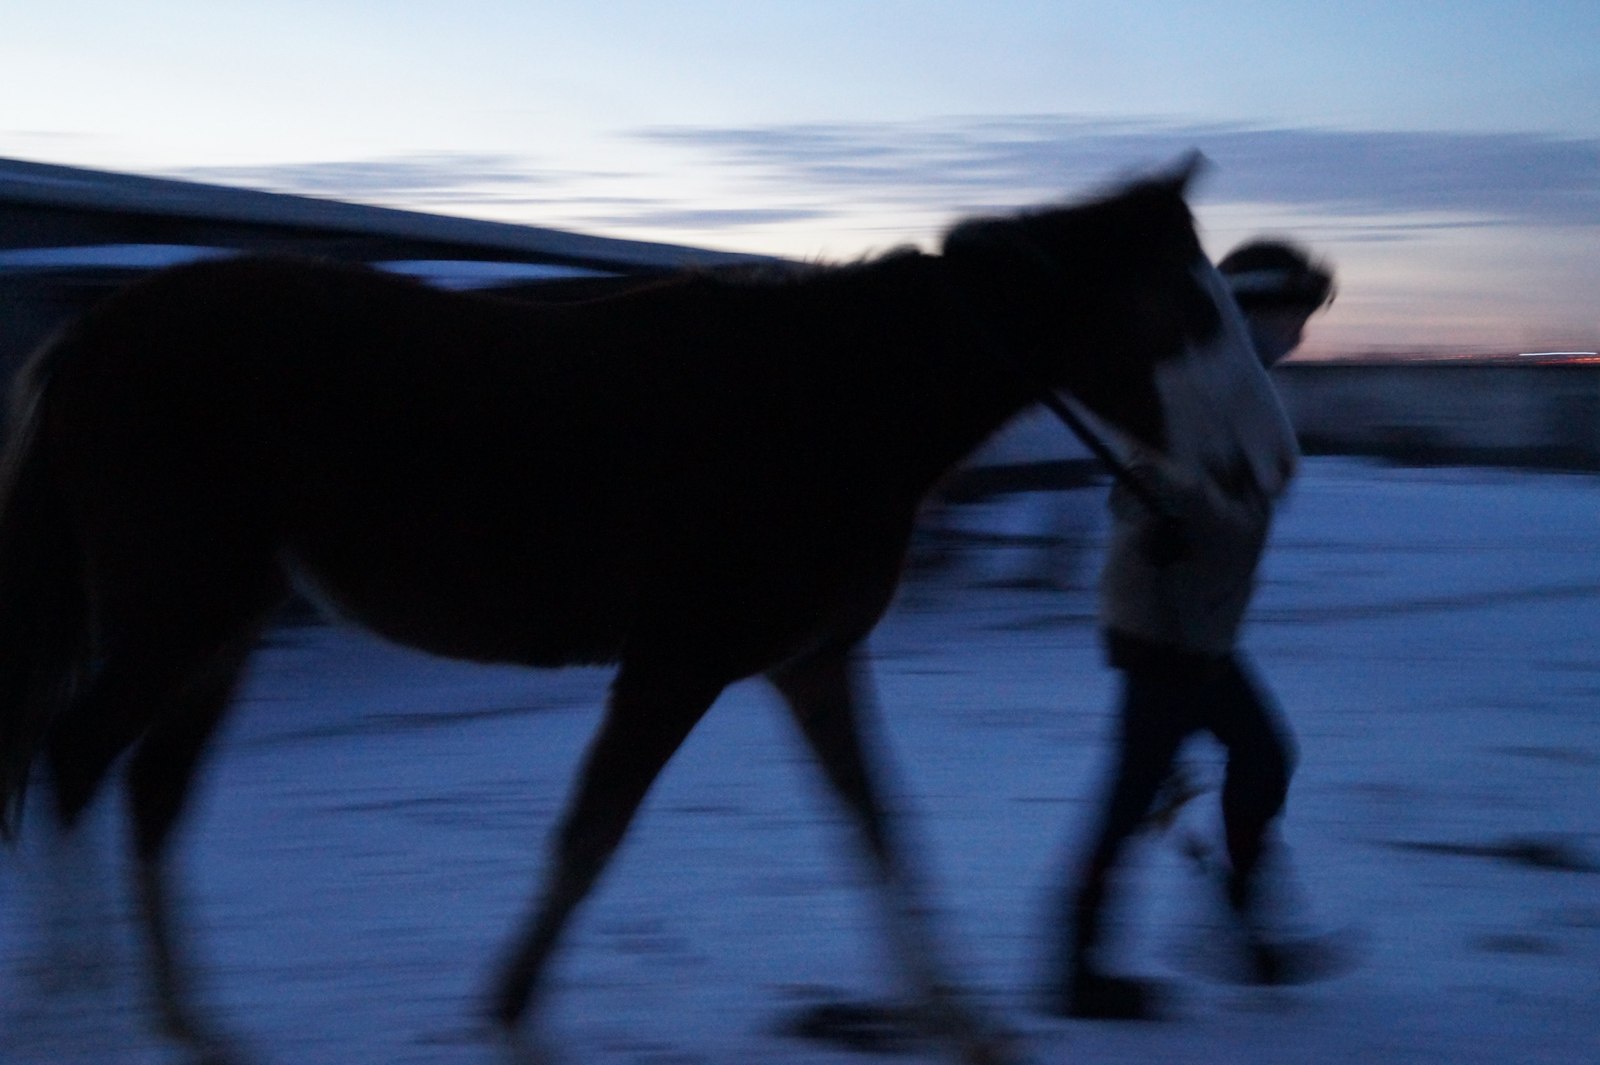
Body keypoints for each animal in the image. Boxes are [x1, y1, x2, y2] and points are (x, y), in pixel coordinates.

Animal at [0, 153, 1280, 1055]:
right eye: (1186, 308)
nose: (1270, 460)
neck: (826, 401)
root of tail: (91, 333)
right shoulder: (677, 663)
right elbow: (588, 838)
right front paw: (511, 1019)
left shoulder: (809, 665)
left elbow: (881, 830)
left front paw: (963, 1023)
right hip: (179, 616)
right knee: (74, 761)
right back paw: (81, 1018)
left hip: (222, 627)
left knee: (149, 797)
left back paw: (195, 1029)